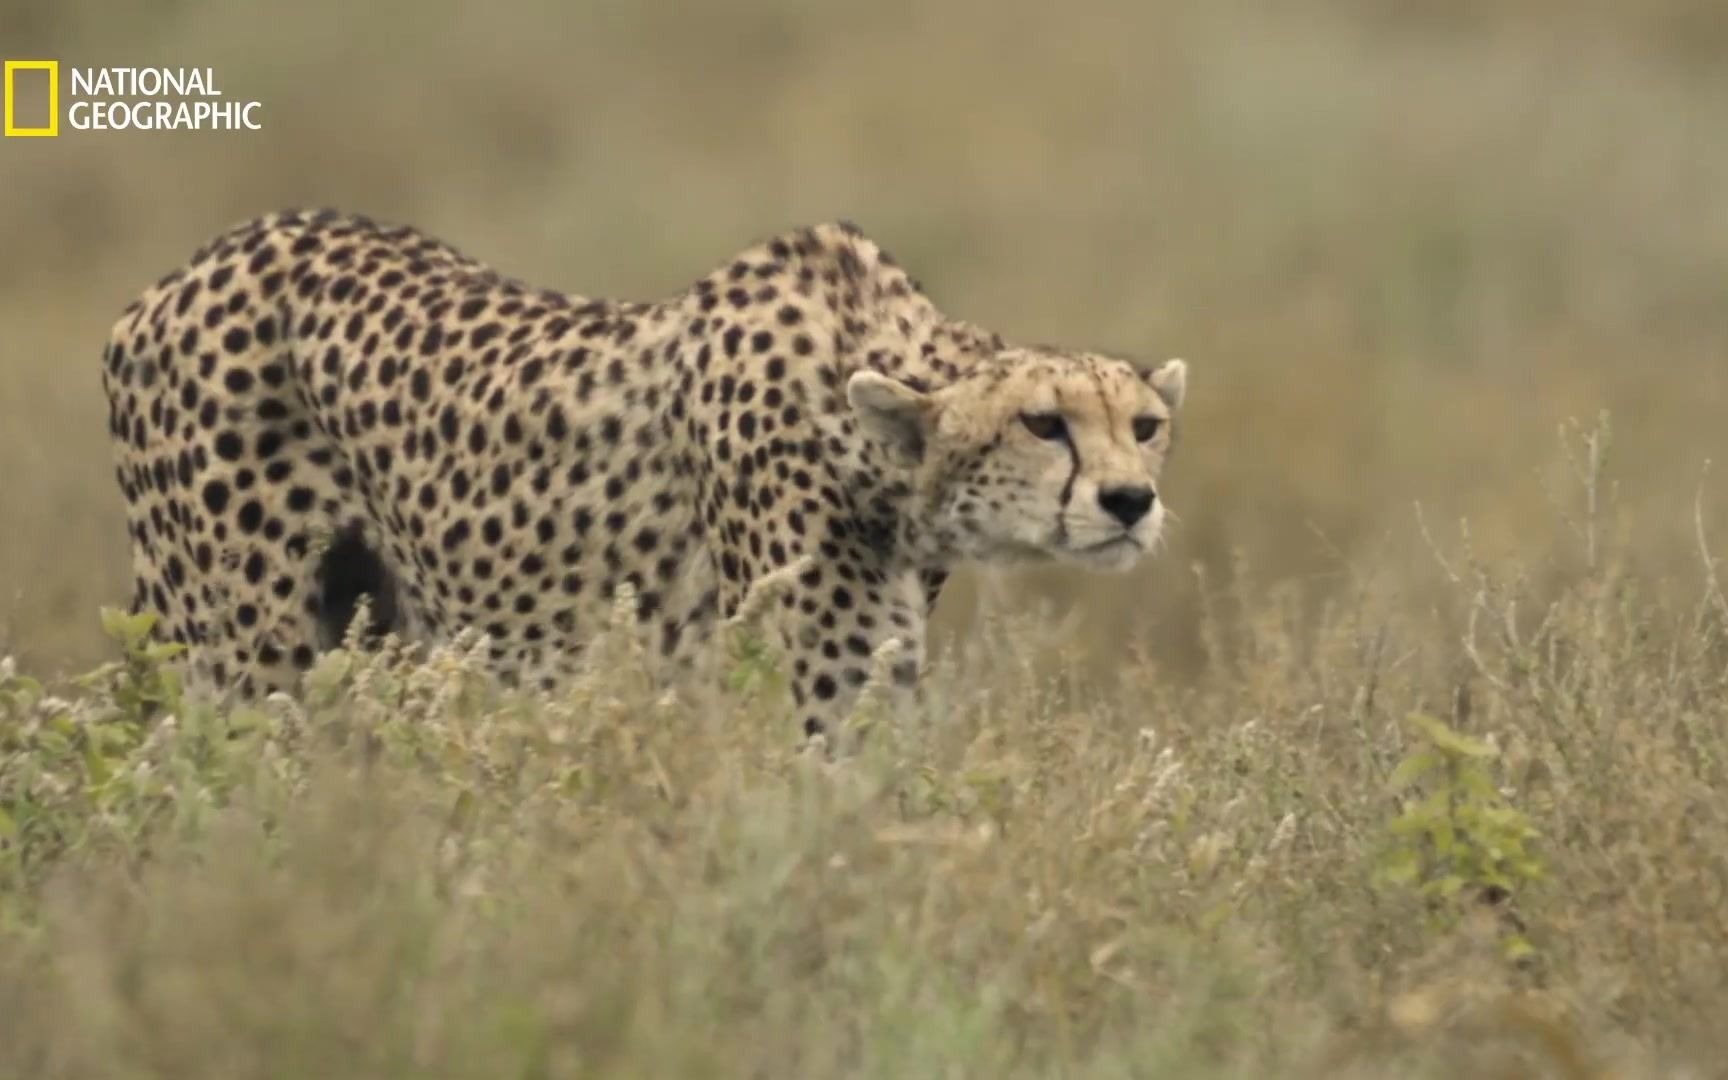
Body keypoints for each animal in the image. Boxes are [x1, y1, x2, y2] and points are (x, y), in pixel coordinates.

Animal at [101, 210, 1195, 732]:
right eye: (1044, 424)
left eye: (1144, 426)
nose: (1130, 500)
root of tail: (186, 269)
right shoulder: (817, 684)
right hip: (243, 652)